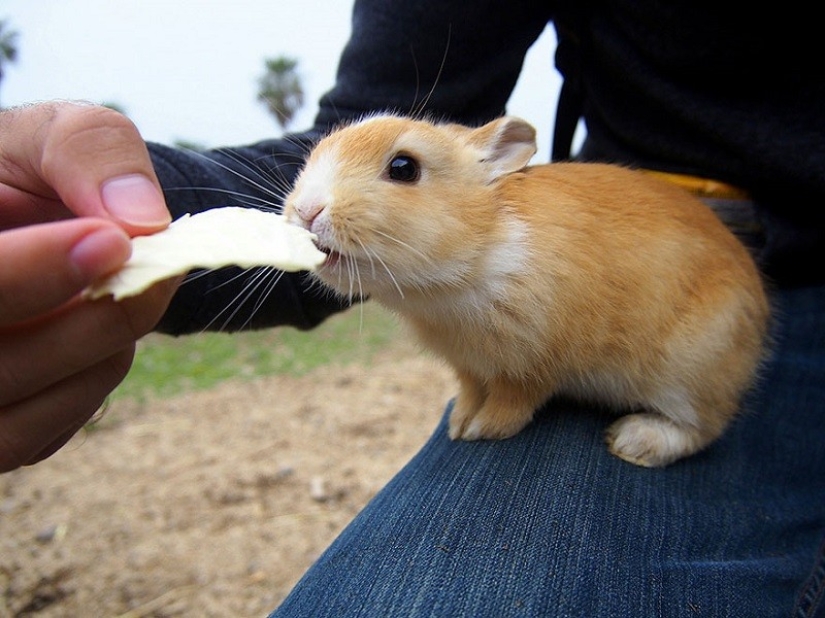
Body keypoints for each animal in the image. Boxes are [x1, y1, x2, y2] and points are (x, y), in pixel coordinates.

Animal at [282, 113, 770, 467]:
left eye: (403, 168)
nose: (306, 211)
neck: (478, 250)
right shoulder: (469, 366)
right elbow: (471, 391)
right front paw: (459, 423)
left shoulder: (531, 365)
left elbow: (516, 401)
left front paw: (482, 431)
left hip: (690, 365)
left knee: (704, 427)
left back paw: (635, 441)